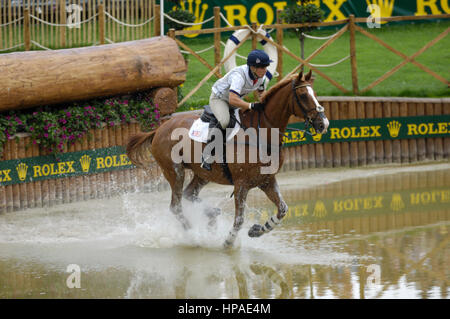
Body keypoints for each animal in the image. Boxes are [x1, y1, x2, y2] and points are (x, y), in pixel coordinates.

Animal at [126, 71, 330, 249]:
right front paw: (228, 242)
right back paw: (194, 235)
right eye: (303, 95)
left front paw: (258, 230)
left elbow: (282, 209)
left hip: (202, 174)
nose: (324, 124)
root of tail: (158, 129)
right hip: (174, 171)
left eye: (315, 94)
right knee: (176, 206)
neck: (262, 132)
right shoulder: (241, 184)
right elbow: (239, 220)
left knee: (188, 194)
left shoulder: (266, 180)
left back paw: (210, 216)